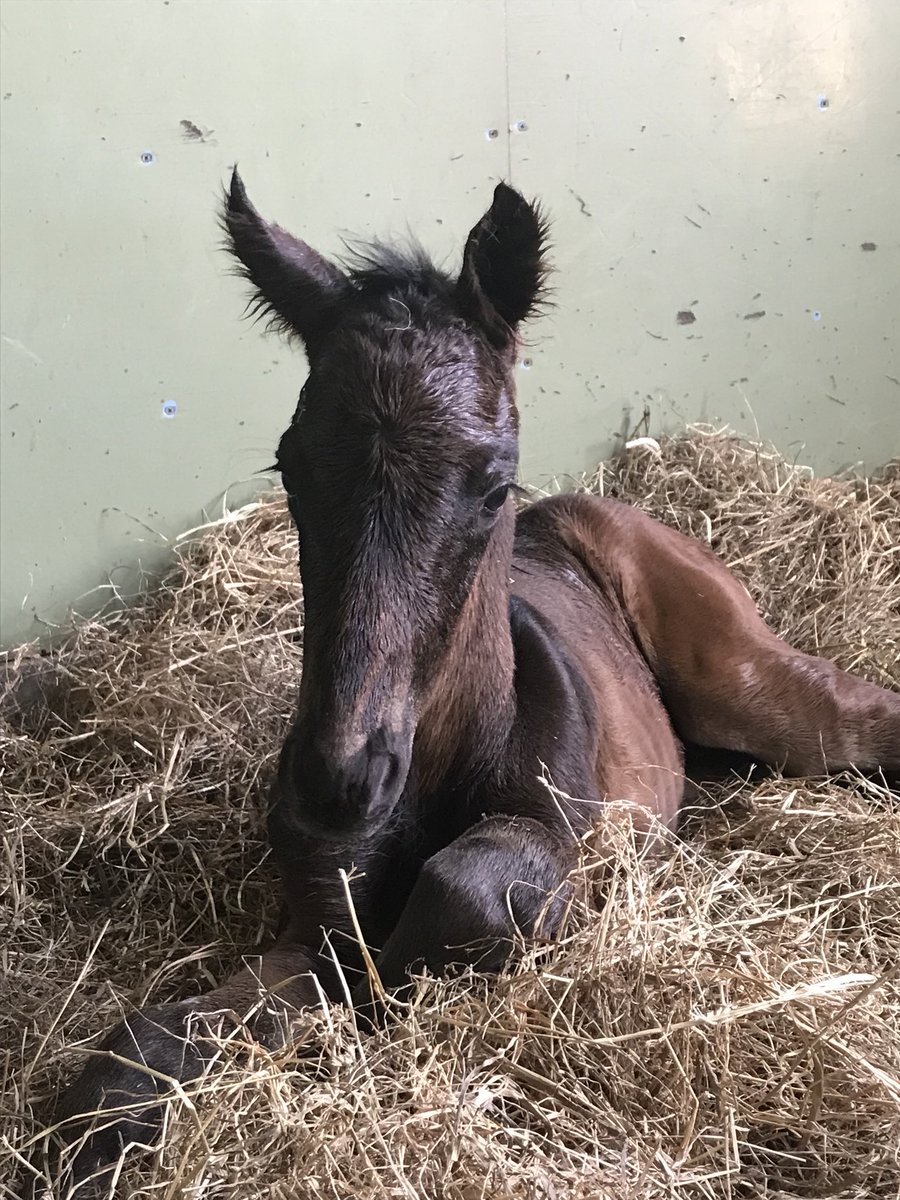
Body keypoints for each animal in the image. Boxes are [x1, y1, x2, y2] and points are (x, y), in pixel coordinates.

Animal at [31, 174, 897, 1195]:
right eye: (290, 465)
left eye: (491, 484)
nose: (336, 784)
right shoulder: (311, 927)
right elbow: (148, 1049)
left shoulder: (559, 857)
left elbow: (458, 895)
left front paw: (395, 1001)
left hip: (745, 681)